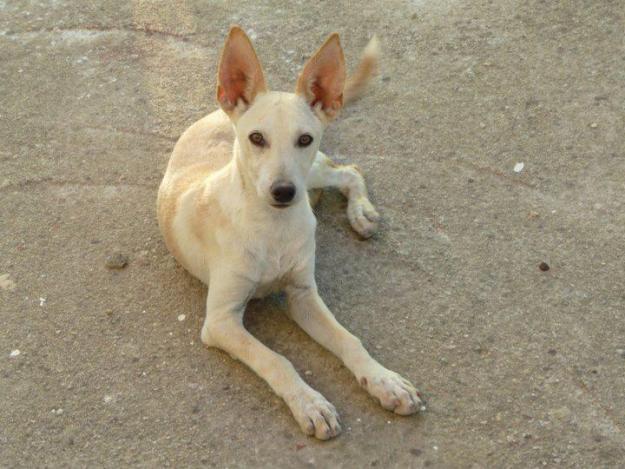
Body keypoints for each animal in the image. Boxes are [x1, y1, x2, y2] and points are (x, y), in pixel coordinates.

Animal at [156, 26, 422, 438]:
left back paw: (361, 213)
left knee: (349, 171)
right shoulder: (220, 321)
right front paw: (309, 403)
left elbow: (349, 339)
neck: (272, 229)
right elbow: (276, 360)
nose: (284, 192)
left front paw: (384, 381)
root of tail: (218, 111)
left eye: (304, 139)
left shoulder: (302, 294)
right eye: (256, 138)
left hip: (313, 172)